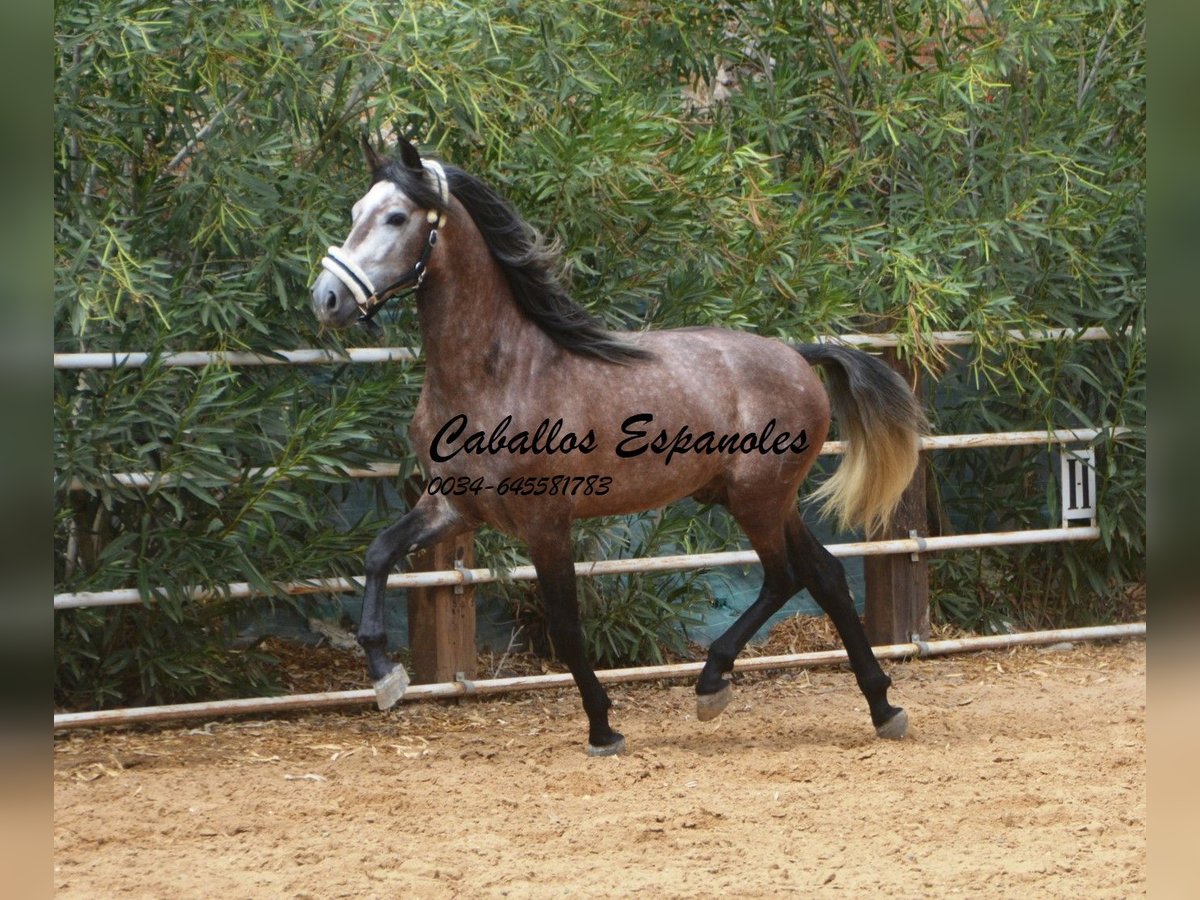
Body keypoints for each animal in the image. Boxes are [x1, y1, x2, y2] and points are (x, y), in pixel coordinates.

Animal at [312, 141, 926, 758]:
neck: (500, 375)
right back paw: (883, 707)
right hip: (762, 498)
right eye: (355, 211)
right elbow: (379, 554)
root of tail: (798, 355)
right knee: (825, 575)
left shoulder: (546, 521)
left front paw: (603, 729)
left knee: (784, 578)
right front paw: (385, 675)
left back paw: (713, 685)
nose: (327, 298)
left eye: (397, 217)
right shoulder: (454, 508)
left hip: (757, 499)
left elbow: (565, 626)